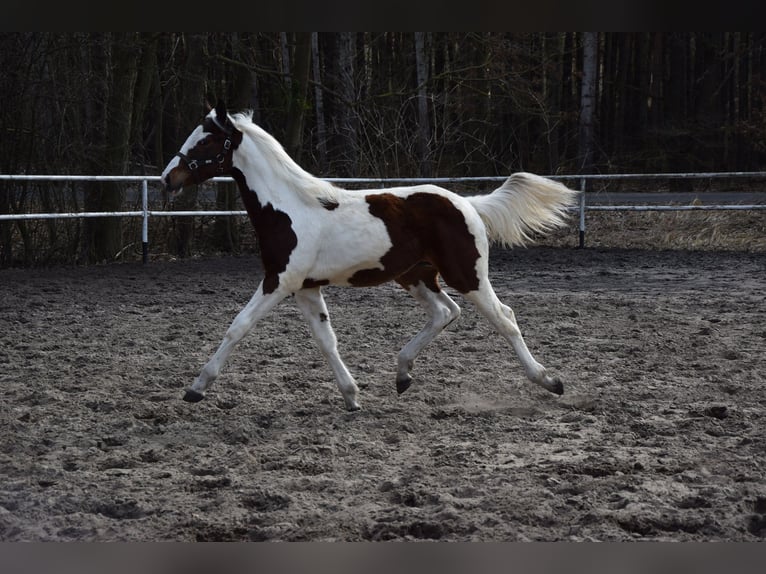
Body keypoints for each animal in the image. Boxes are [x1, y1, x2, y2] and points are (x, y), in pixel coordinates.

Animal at [160, 101, 579, 411]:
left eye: (205, 141)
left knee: (505, 318)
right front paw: (351, 396)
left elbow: (238, 326)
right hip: (416, 275)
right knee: (445, 312)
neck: (289, 209)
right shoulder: (306, 289)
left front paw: (196, 388)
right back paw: (403, 374)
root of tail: (468, 204)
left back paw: (550, 381)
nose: (167, 179)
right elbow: (326, 340)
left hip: (466, 275)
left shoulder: (279, 281)